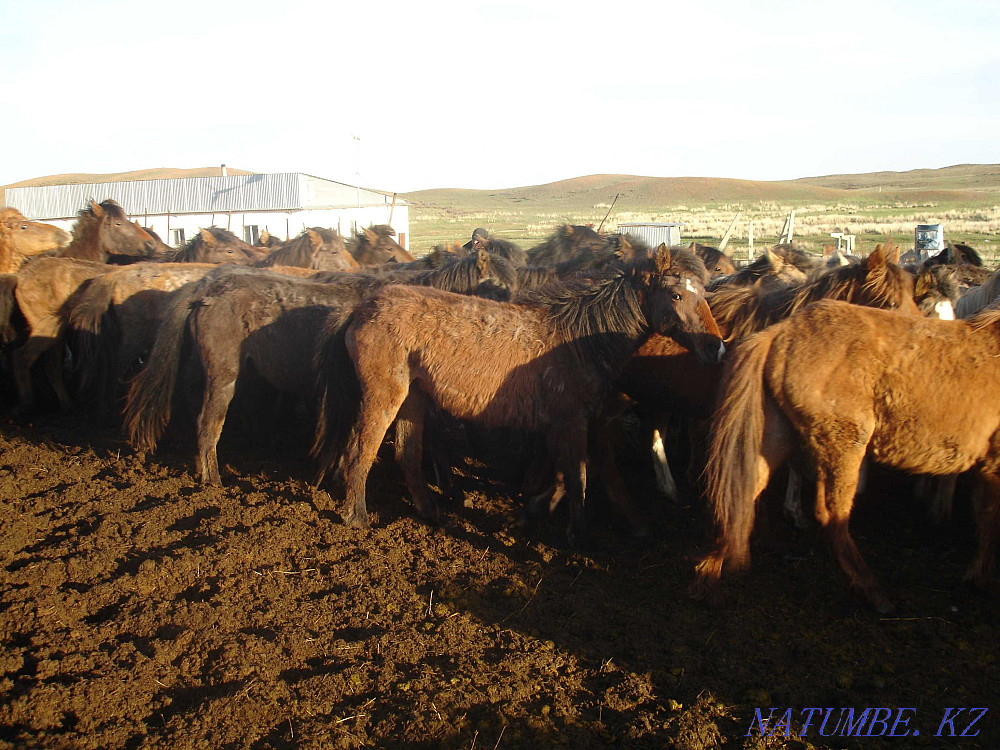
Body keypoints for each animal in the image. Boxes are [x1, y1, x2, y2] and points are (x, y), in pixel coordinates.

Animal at [310, 245, 724, 543]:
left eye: (705, 291)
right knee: (360, 451)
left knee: (407, 455)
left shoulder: (562, 423)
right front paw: (577, 534)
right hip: (385, 396)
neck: (578, 339)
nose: (715, 347)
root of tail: (360, 308)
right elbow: (577, 476)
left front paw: (532, 513)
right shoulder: (572, 420)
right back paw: (357, 517)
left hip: (413, 398)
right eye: (675, 295)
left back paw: (431, 511)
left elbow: (560, 474)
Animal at [695, 299, 1000, 612]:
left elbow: (985, 517)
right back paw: (872, 591)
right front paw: (982, 580)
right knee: (832, 515)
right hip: (844, 445)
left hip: (776, 438)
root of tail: (781, 332)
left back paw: (709, 580)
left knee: (740, 497)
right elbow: (991, 520)